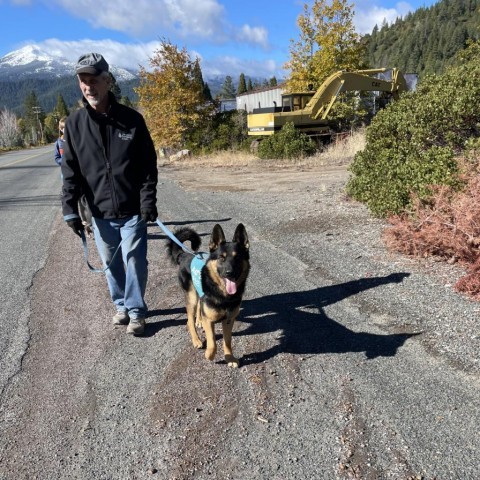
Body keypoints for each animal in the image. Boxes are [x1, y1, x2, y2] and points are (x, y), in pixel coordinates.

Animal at [167, 223, 251, 366]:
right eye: (221, 258)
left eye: (237, 258)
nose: (229, 273)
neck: (224, 296)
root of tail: (184, 255)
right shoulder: (210, 321)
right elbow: (212, 341)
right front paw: (209, 355)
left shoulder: (228, 320)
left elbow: (227, 341)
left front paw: (229, 357)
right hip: (192, 297)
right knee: (189, 321)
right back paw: (196, 339)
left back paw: (199, 320)